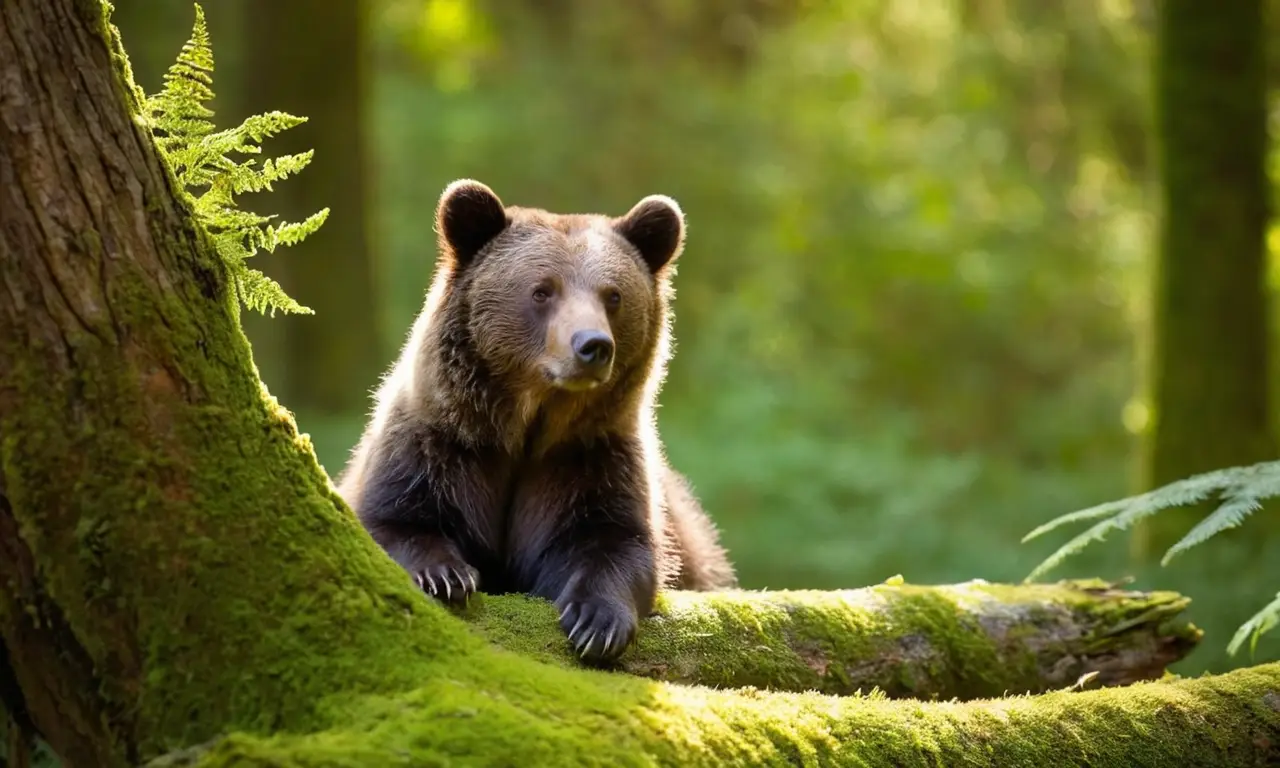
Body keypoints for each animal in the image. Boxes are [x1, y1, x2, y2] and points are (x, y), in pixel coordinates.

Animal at [336, 179, 737, 664]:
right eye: (543, 290)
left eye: (613, 295)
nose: (593, 345)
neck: (527, 424)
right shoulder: (439, 444)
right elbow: (394, 520)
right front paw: (446, 576)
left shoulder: (587, 457)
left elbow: (614, 542)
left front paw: (597, 622)